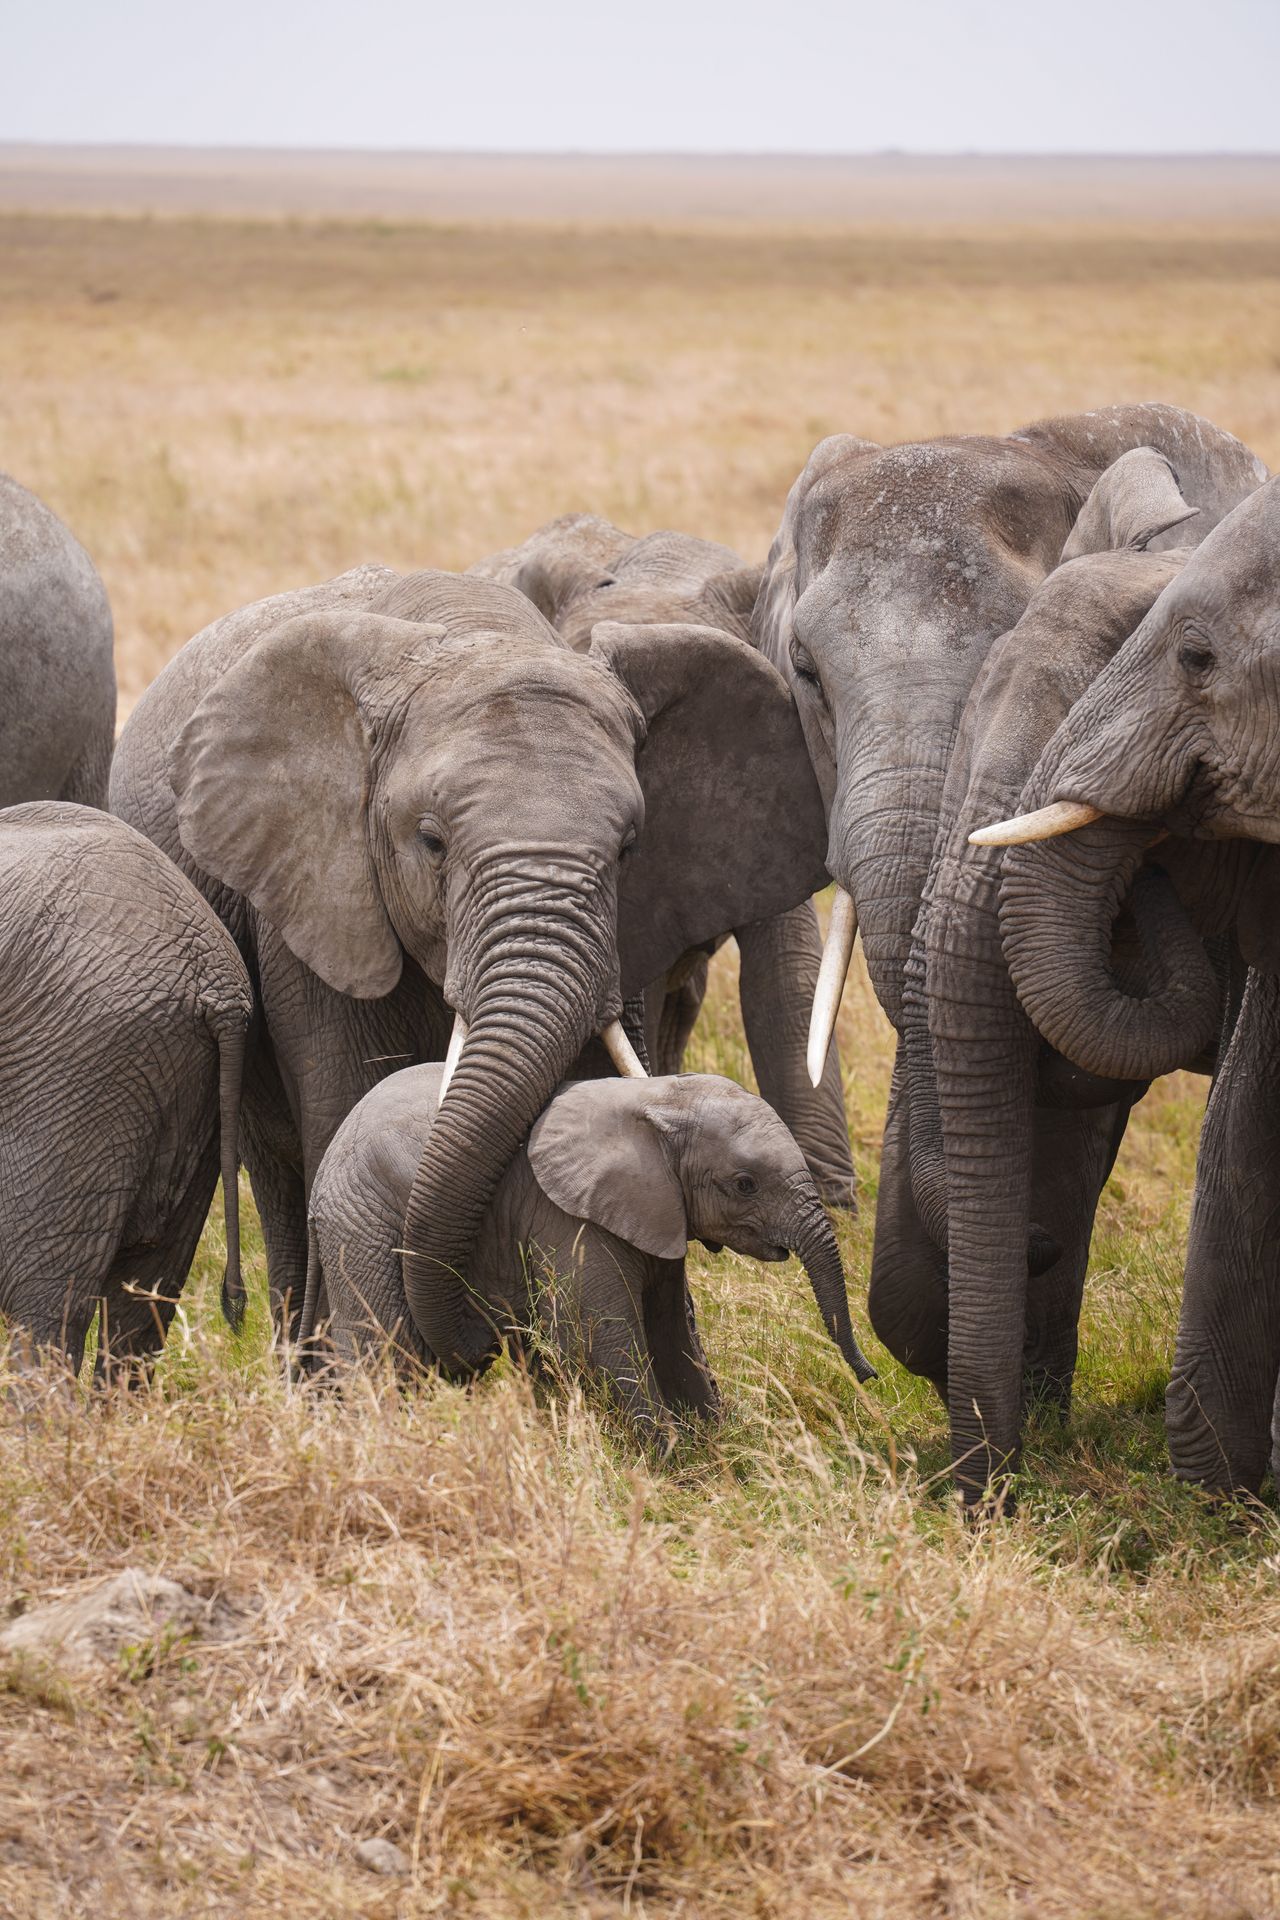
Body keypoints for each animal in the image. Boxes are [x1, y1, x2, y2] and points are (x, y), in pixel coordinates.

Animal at [109, 565, 831, 1378]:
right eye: (431, 841)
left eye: (630, 847)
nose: (481, 1349)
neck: (478, 632)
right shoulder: (315, 892)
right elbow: (350, 1093)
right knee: (281, 1174)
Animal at [298, 1063, 875, 1428]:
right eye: (745, 1184)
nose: (870, 1376)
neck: (658, 1097)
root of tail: (322, 1172)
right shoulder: (565, 1218)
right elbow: (597, 1337)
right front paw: (665, 1463)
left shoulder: (656, 1213)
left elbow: (671, 1328)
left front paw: (716, 1448)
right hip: (363, 1223)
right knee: (385, 1354)